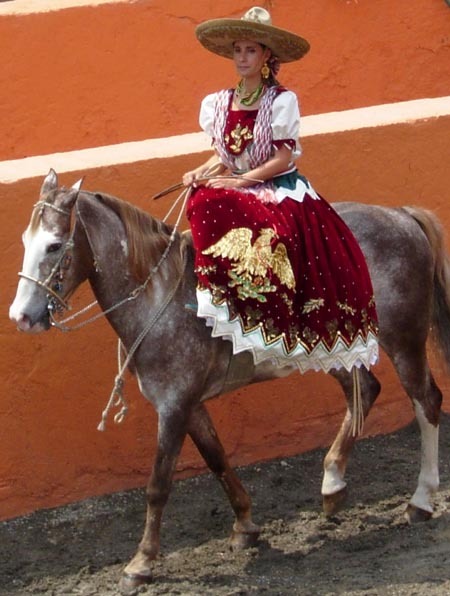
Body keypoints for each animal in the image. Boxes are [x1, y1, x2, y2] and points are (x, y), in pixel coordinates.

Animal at [7, 170, 450, 592]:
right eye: (26, 240)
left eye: (53, 245)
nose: (22, 316)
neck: (159, 293)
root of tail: (402, 216)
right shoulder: (190, 405)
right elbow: (217, 460)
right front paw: (245, 526)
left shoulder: (173, 407)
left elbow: (158, 485)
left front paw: (141, 563)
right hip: (337, 348)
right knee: (366, 392)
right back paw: (332, 483)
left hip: (405, 340)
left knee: (426, 402)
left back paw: (420, 500)